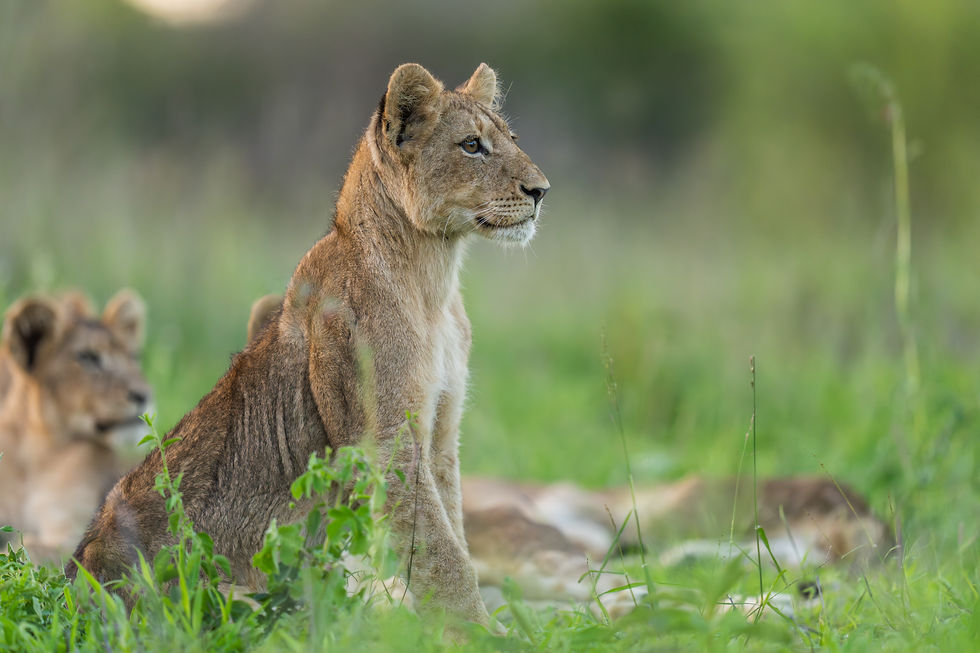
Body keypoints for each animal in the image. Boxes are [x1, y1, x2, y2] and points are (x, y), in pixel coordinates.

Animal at [0, 289, 151, 563]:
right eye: (88, 357)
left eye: (133, 357)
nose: (144, 395)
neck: (33, 456)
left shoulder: (74, 530)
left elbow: (29, 547)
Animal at [68, 63, 549, 630]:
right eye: (472, 145)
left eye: (511, 139)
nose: (541, 190)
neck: (433, 276)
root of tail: (72, 579)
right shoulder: (384, 440)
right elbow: (439, 549)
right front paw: (482, 632)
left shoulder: (441, 429)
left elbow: (451, 528)